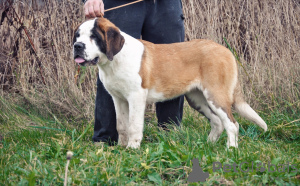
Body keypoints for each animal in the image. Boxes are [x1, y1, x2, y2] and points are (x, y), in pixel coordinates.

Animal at [72, 17, 268, 148]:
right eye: (78, 36)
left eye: (94, 36)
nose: (77, 46)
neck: (113, 61)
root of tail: (225, 50)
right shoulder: (118, 99)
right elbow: (121, 125)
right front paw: (120, 148)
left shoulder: (136, 97)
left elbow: (134, 125)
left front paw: (132, 148)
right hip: (197, 99)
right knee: (218, 122)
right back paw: (208, 145)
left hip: (215, 96)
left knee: (232, 124)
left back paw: (230, 149)